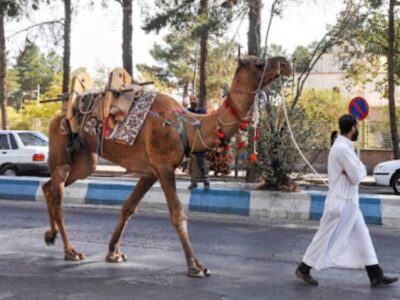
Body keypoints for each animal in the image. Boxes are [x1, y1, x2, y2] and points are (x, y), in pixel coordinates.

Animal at [41, 55, 290, 278]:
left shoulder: (150, 172)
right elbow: (178, 215)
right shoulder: (164, 167)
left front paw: (113, 253)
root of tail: (58, 113)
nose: (285, 62)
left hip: (86, 160)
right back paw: (71, 251)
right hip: (61, 141)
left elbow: (128, 208)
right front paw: (196, 266)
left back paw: (50, 236)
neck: (187, 127)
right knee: (58, 196)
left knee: (49, 186)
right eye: (259, 64)